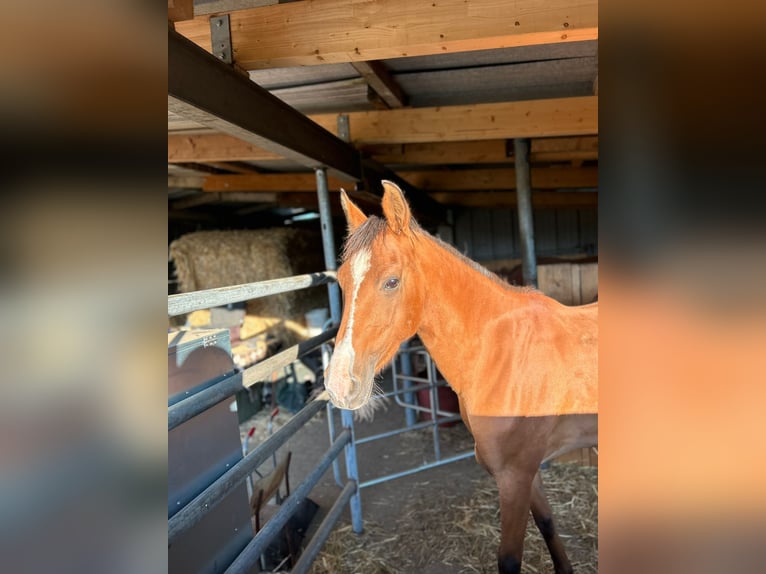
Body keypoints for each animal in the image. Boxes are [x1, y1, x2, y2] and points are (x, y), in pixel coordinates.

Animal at [324, 182, 600, 572]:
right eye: (343, 280)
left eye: (391, 281)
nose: (339, 384)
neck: (502, 352)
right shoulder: (527, 473)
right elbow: (547, 522)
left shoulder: (514, 477)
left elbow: (509, 558)